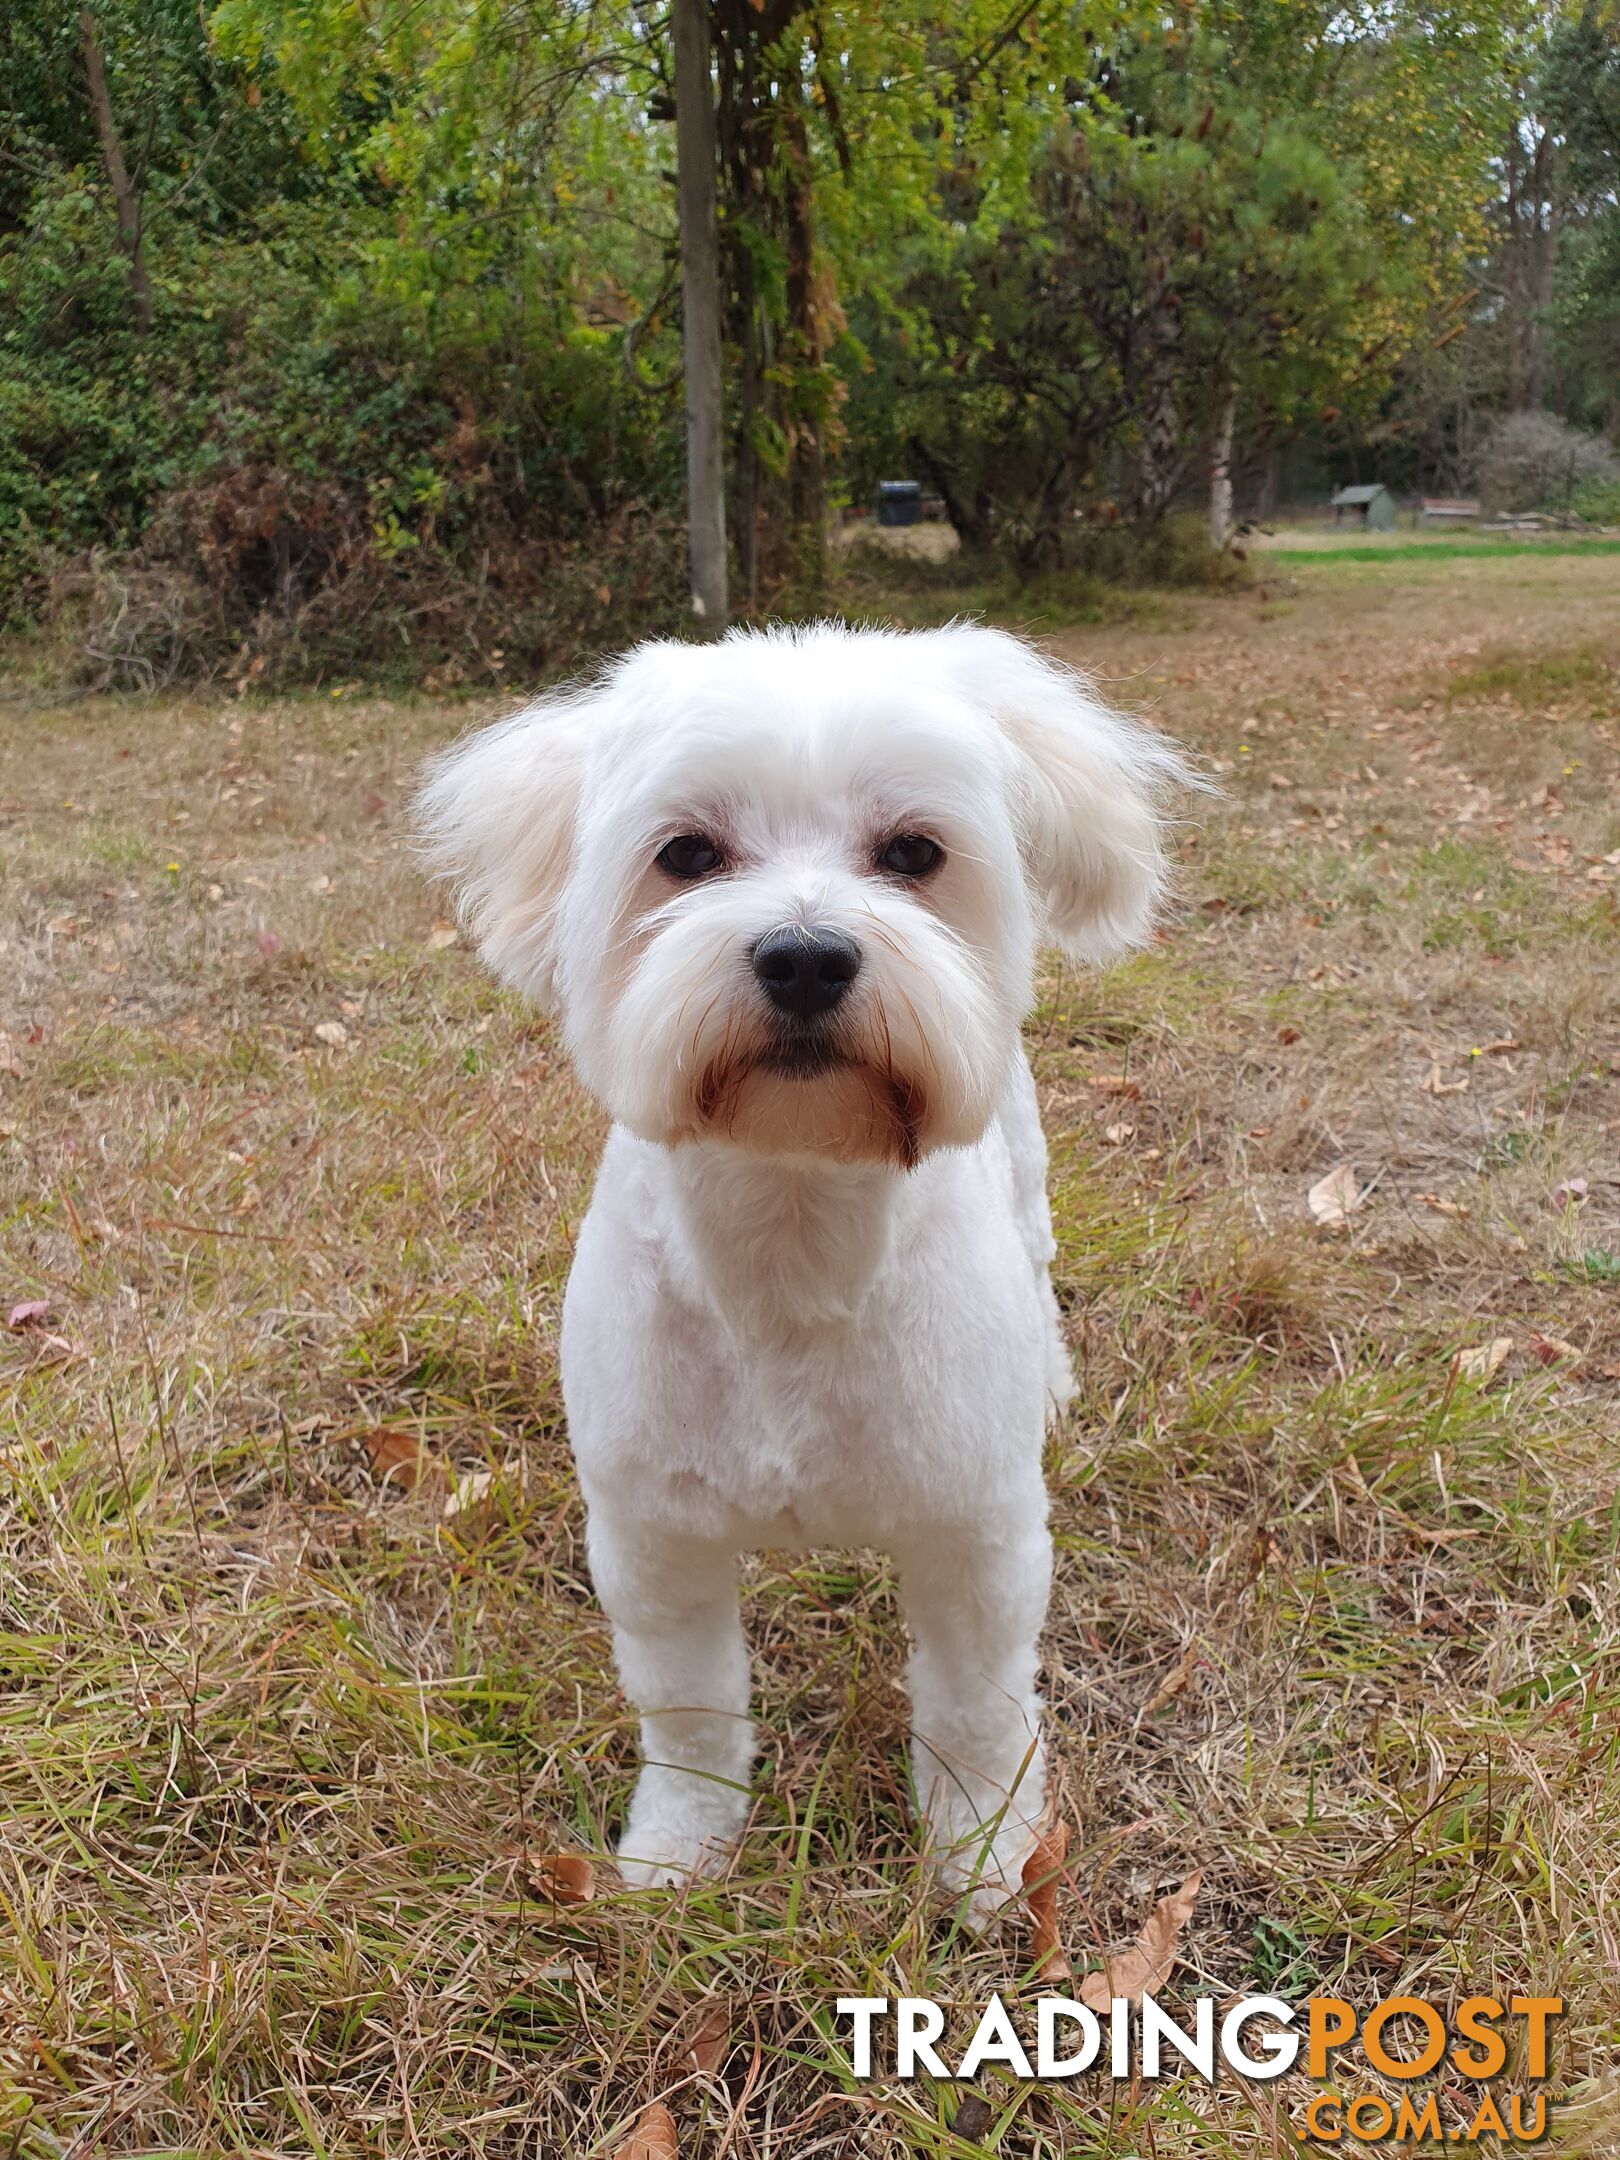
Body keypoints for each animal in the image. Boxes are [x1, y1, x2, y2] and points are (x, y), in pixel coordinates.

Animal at [414, 626, 1183, 1926]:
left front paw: (981, 1857)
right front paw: (680, 1850)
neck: (791, 1232)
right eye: (685, 853)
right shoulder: (652, 1540)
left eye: (914, 852)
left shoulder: (974, 1539)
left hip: (1027, 1181)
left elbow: (976, 1714)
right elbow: (690, 1715)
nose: (808, 955)